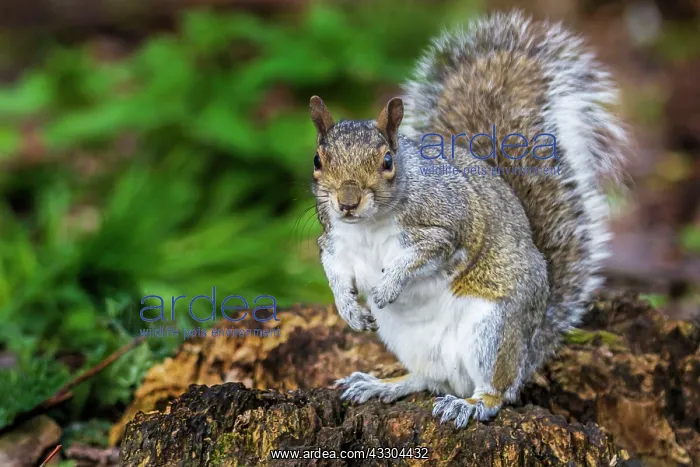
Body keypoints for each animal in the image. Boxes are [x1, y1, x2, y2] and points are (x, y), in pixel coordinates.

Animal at [309, 10, 626, 428]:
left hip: (492, 330)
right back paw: (383, 385)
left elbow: (420, 255)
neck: (368, 226)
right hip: (407, 339)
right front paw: (349, 310)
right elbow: (334, 272)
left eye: (387, 162)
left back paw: (471, 404)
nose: (347, 202)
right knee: (429, 379)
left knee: (497, 392)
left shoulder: (448, 227)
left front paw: (387, 286)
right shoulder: (333, 241)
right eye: (317, 160)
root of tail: (531, 346)